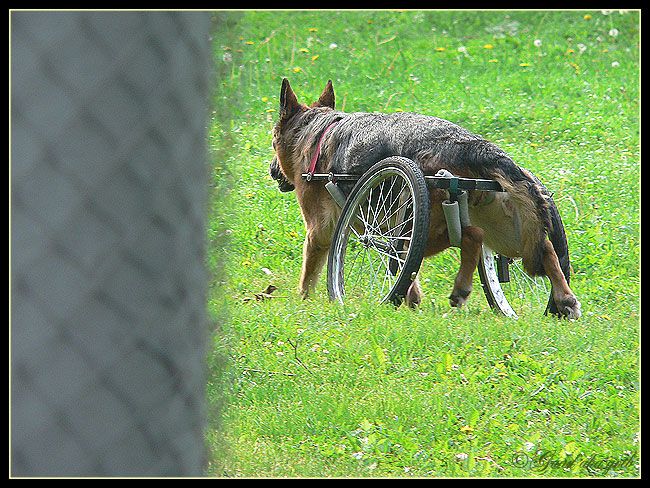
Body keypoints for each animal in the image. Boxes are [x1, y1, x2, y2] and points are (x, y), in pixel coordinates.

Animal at [266, 78, 580, 318]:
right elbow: (404, 269)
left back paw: (462, 287)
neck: (318, 130)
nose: (271, 170)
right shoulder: (385, 229)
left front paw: (304, 301)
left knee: (471, 236)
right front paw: (411, 299)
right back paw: (563, 298)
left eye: (272, 141)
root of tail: (475, 147)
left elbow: (311, 270)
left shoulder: (321, 230)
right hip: (501, 225)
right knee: (536, 248)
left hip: (430, 224)